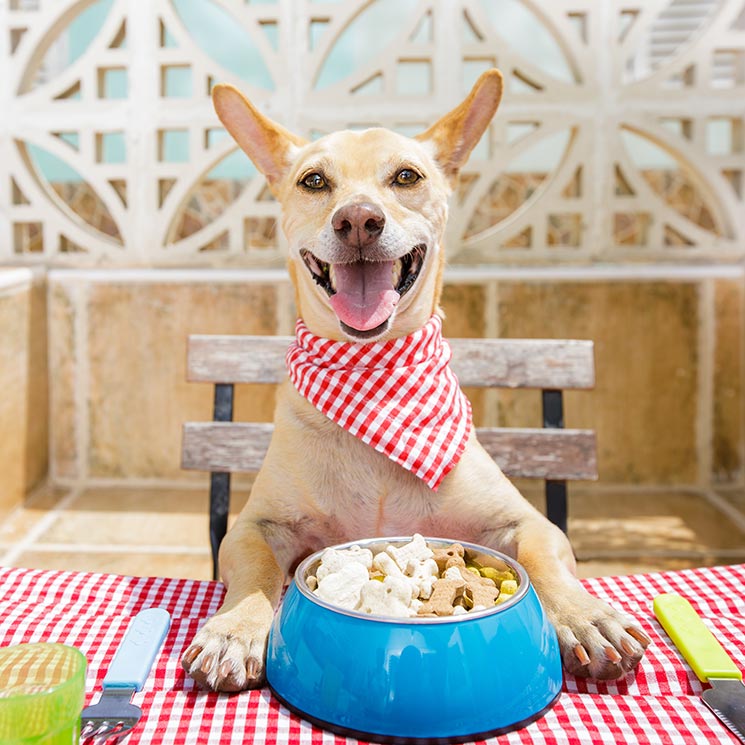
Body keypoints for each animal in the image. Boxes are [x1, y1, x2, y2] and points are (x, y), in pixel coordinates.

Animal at [182, 71, 652, 692]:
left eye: (406, 176)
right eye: (314, 181)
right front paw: (235, 627)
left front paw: (585, 615)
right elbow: (257, 571)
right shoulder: (255, 527)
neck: (374, 378)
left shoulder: (527, 522)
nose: (358, 220)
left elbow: (545, 561)